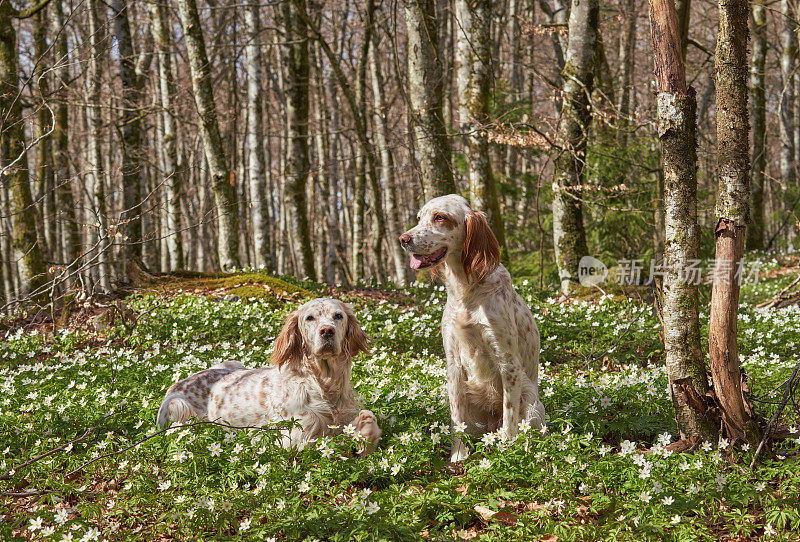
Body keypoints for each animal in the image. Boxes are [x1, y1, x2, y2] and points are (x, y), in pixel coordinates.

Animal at [159, 300, 382, 452]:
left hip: (233, 362)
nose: (327, 331)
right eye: (310, 318)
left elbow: (369, 420)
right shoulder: (289, 435)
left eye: (338, 316)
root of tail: (177, 385)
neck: (323, 383)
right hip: (179, 406)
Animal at [398, 196, 544, 464]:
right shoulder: (454, 362)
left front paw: (508, 450)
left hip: (530, 398)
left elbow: (509, 418)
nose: (403, 239)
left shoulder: (509, 364)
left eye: (440, 217)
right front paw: (458, 456)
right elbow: (457, 420)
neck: (466, 289)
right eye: (419, 218)